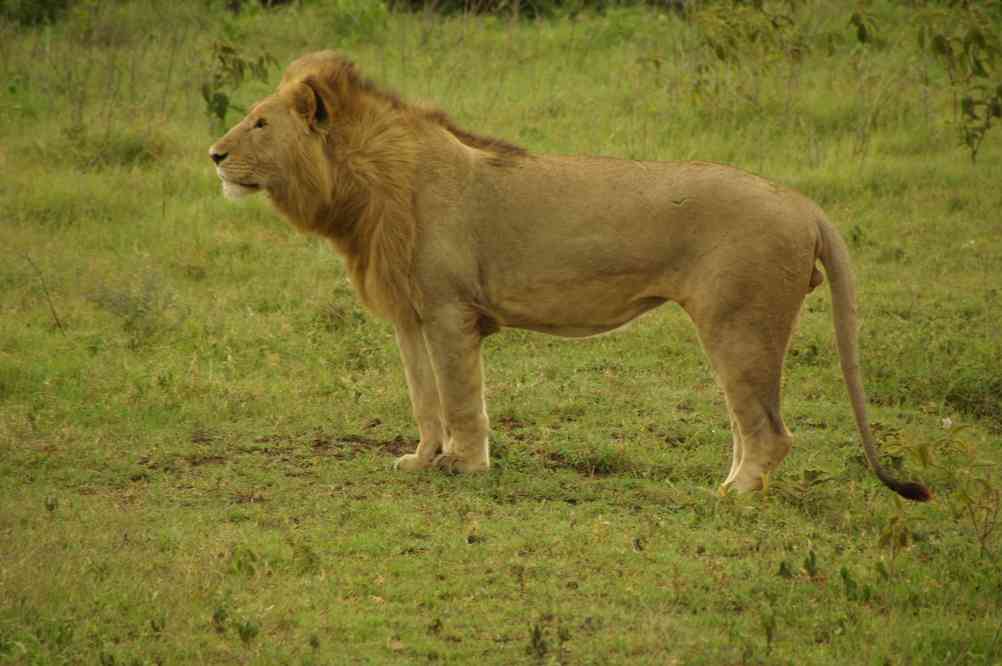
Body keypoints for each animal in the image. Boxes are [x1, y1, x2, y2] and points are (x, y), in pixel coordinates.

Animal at [209, 50, 930, 501]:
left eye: (260, 123)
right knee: (747, 424)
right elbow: (424, 397)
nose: (213, 154)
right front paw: (421, 459)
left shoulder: (449, 311)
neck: (361, 184)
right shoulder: (410, 316)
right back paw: (731, 484)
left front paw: (465, 466)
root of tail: (804, 204)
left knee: (771, 432)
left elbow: (461, 398)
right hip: (739, 331)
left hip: (739, 324)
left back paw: (733, 497)